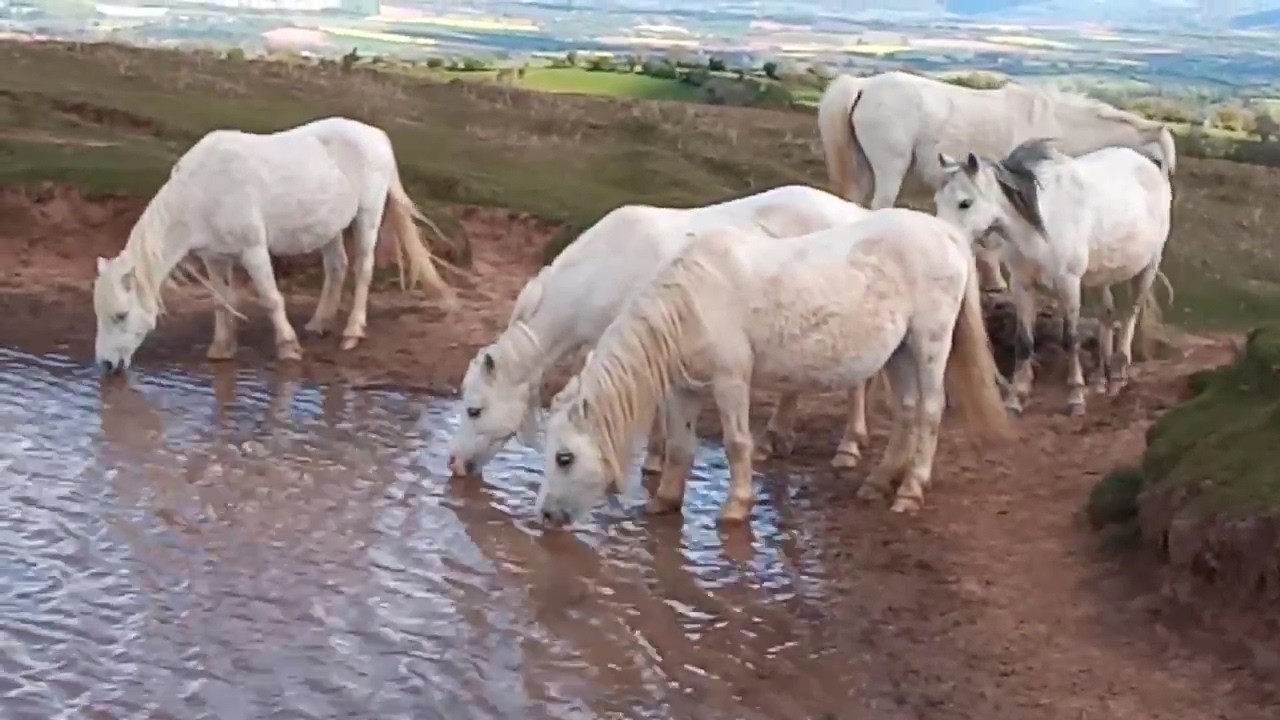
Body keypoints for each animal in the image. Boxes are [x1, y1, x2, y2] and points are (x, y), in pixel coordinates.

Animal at [93, 116, 454, 374]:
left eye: (121, 315)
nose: (107, 365)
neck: (202, 191)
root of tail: (376, 135)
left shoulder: (253, 250)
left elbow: (270, 298)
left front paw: (288, 348)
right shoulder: (215, 258)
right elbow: (222, 301)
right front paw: (222, 349)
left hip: (368, 215)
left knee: (363, 270)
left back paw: (352, 333)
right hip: (329, 225)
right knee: (337, 267)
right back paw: (320, 323)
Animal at [446, 184, 879, 480]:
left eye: (474, 409)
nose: (453, 464)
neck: (601, 271)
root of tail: (854, 213)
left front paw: (653, 461)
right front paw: (654, 460)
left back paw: (848, 448)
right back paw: (776, 438)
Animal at [535, 207, 1012, 527]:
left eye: (564, 457)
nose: (548, 515)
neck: (692, 301)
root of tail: (947, 233)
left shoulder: (730, 380)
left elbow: (736, 443)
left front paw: (736, 506)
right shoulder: (684, 387)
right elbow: (680, 446)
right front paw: (665, 501)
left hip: (929, 342)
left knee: (929, 411)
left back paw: (911, 490)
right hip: (897, 352)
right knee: (908, 412)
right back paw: (878, 482)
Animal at [816, 70, 1176, 294]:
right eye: (1159, 162)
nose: (1164, 196)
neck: (1060, 127)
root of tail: (862, 85)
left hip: (863, 169)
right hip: (889, 169)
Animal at [933, 138, 1174, 417]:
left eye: (965, 202)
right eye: (938, 200)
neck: (1042, 223)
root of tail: (1149, 162)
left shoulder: (1068, 283)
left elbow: (1070, 339)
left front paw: (1075, 397)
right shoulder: (1022, 285)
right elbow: (1024, 341)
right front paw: (1015, 399)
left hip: (1148, 267)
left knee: (1130, 315)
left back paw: (1118, 375)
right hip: (1099, 276)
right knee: (1106, 312)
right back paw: (1100, 380)